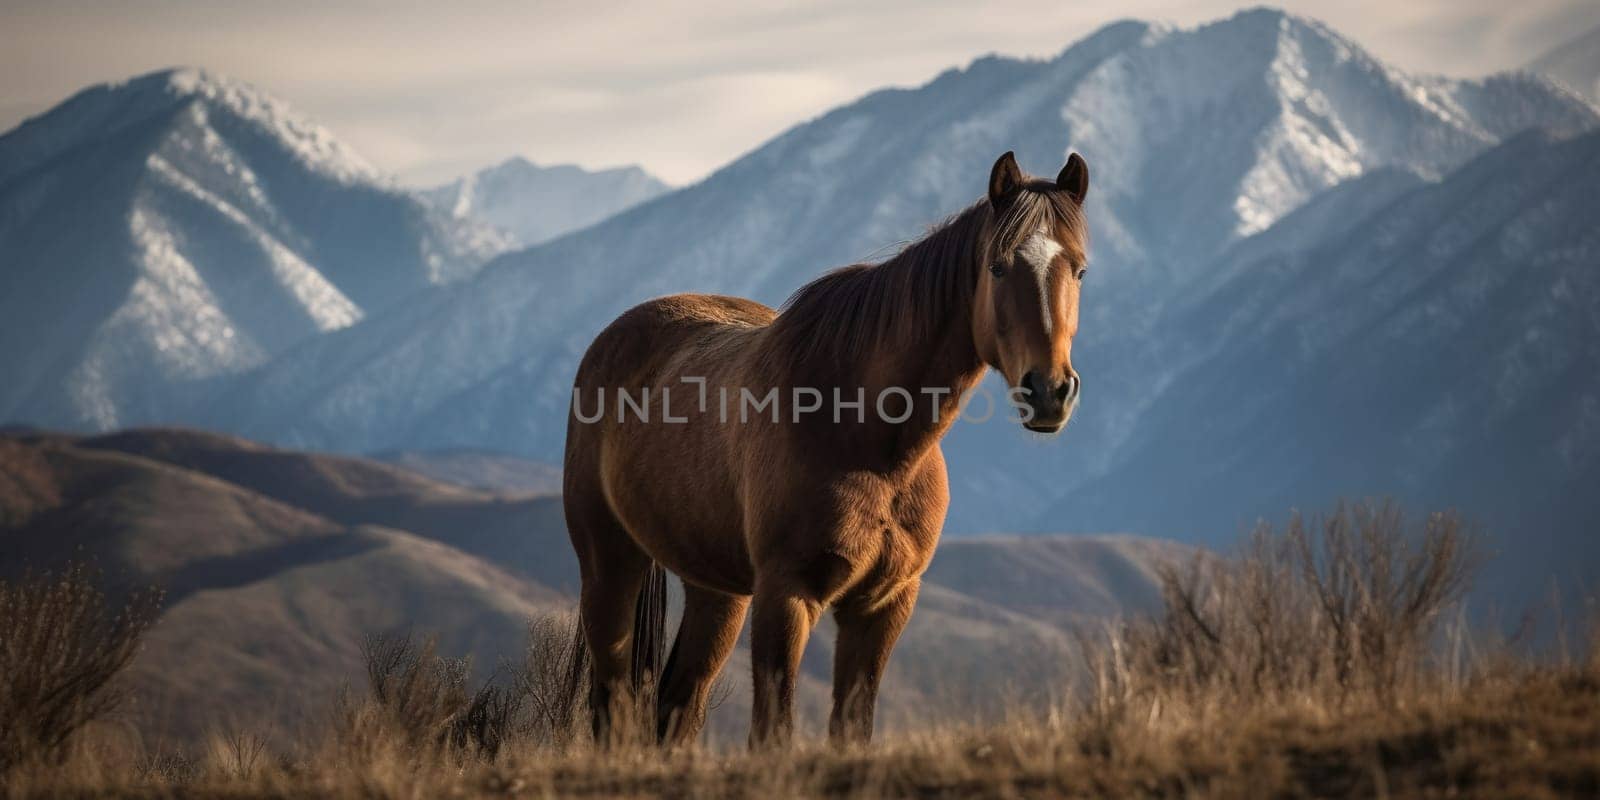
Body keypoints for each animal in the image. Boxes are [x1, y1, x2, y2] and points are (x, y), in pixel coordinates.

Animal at [560, 148, 1088, 742]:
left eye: (1080, 269)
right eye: (997, 267)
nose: (1049, 392)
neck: (871, 441)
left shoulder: (882, 605)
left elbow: (851, 729)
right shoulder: (787, 596)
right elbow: (774, 733)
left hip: (717, 590)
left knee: (678, 705)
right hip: (609, 567)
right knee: (613, 703)